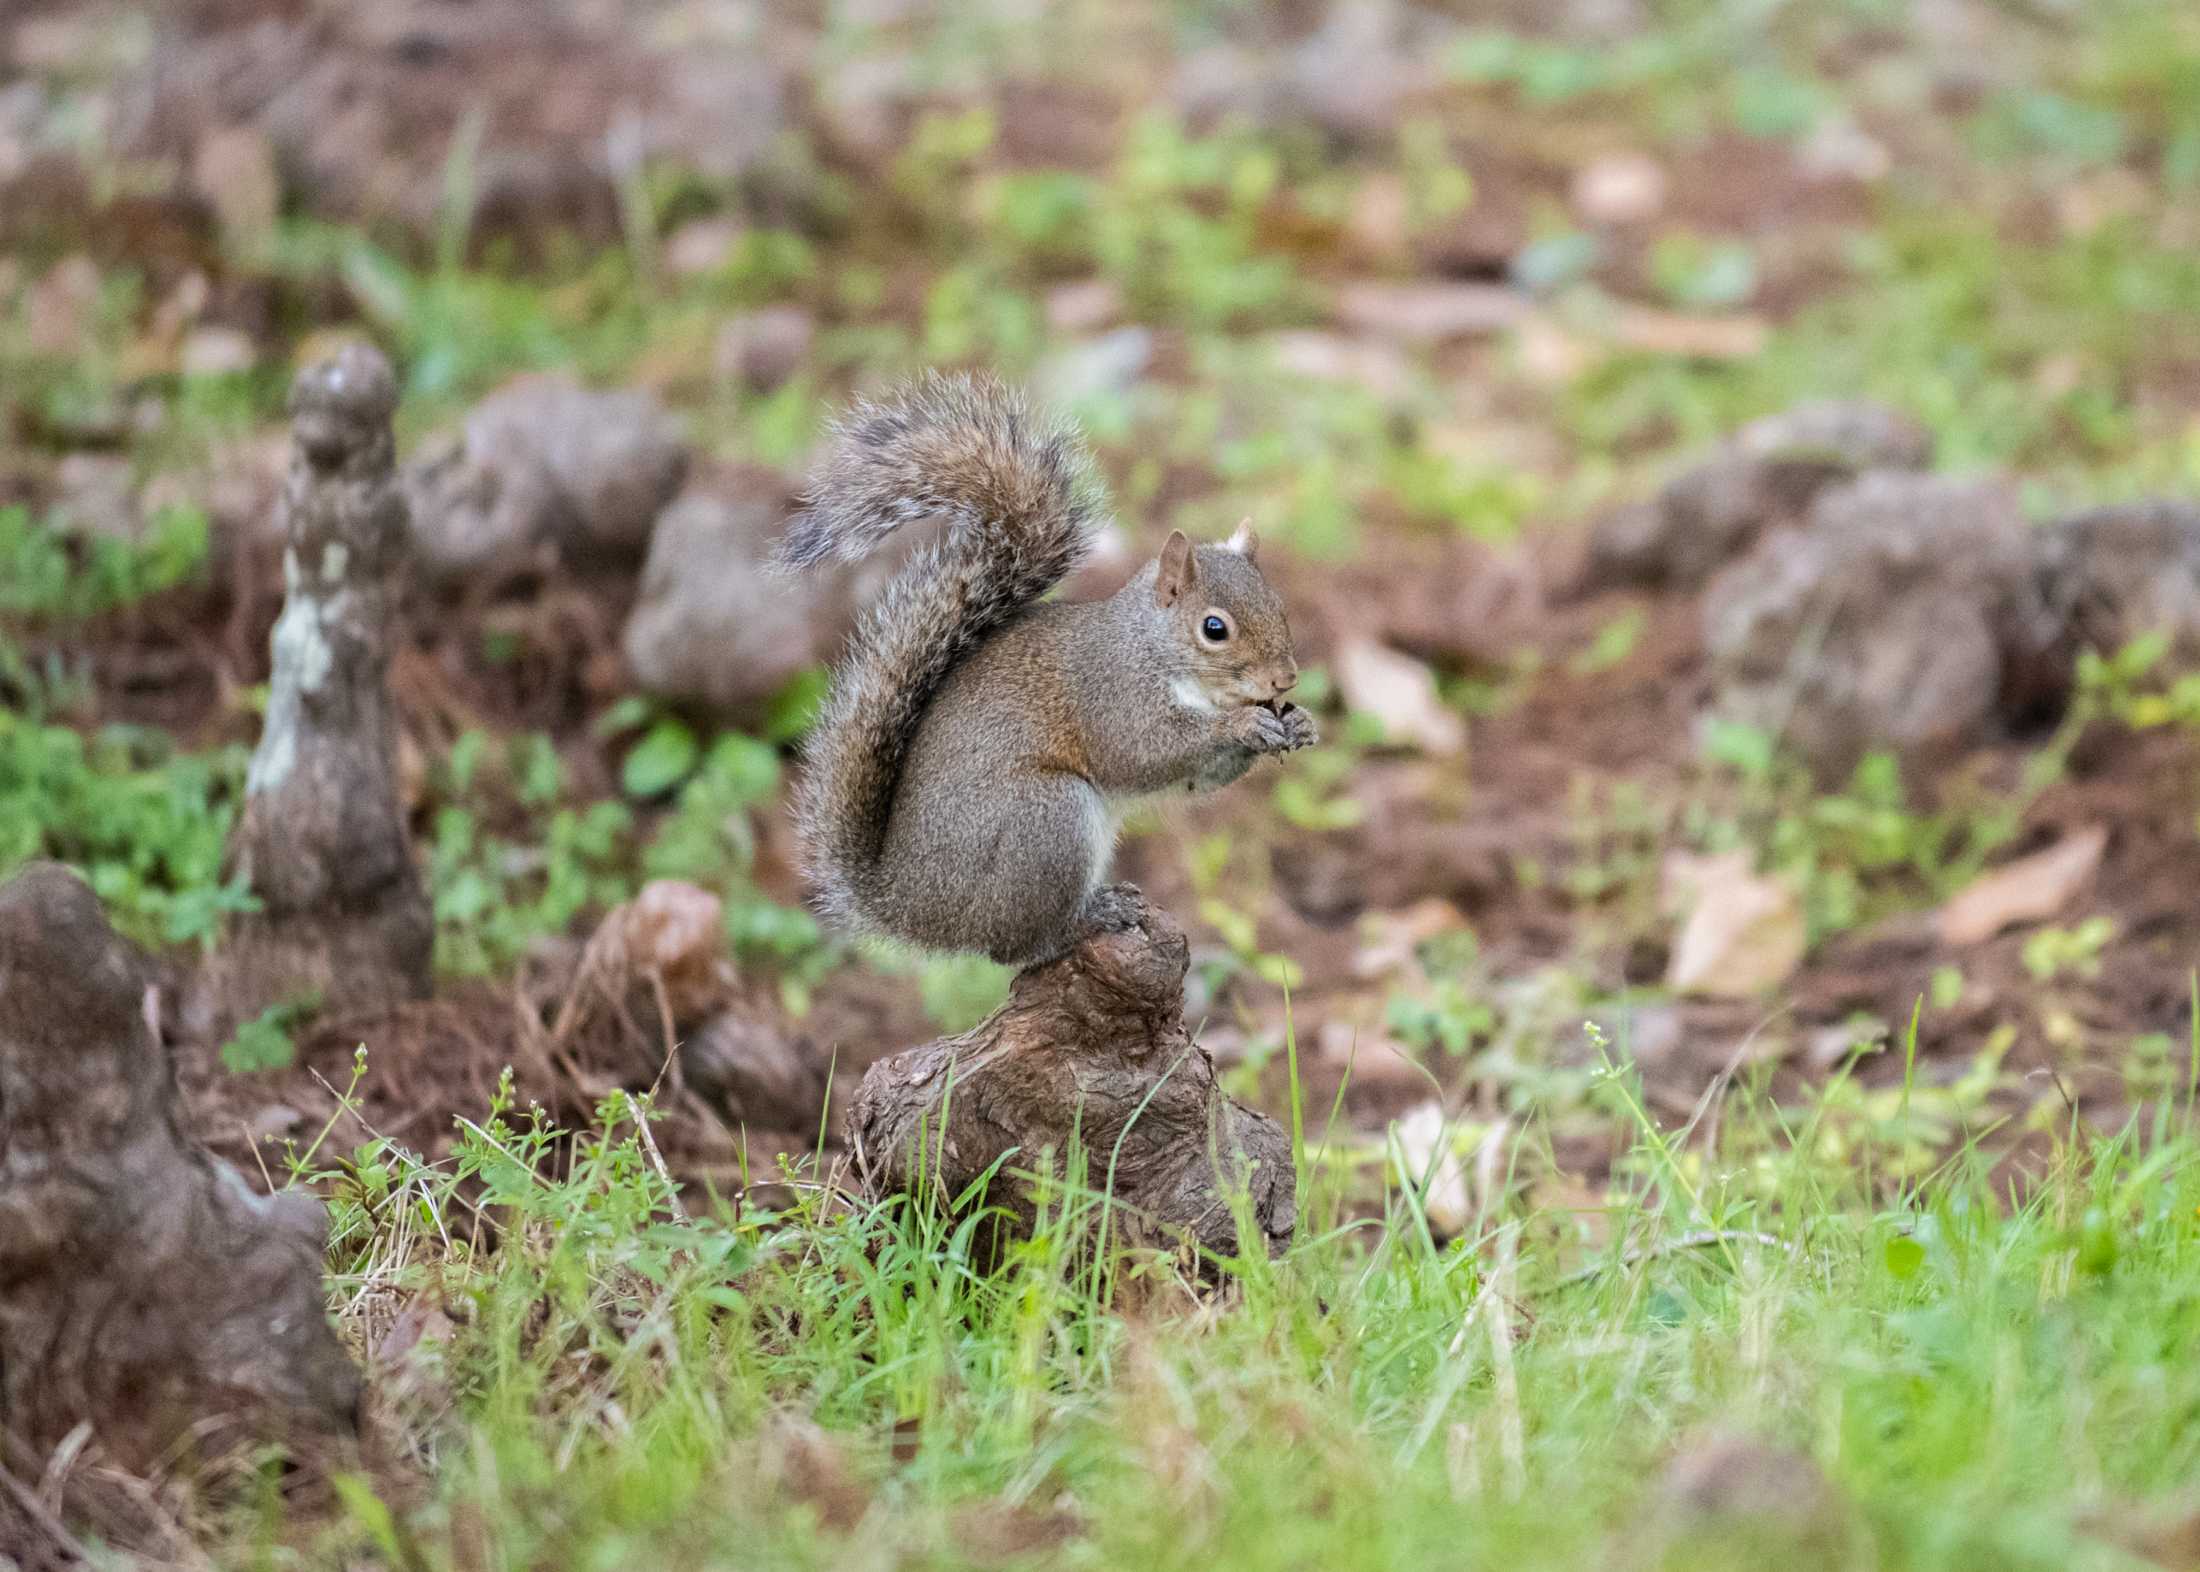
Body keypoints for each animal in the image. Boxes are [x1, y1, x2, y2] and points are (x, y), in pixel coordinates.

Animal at [783, 375, 1311, 967]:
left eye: (1279, 605)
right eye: (1214, 628)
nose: (1285, 681)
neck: (1153, 650)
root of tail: (911, 906)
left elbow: (1203, 776)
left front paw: (1296, 723)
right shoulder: (1111, 692)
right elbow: (1141, 753)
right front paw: (1242, 725)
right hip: (1046, 822)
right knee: (1014, 949)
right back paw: (1091, 917)